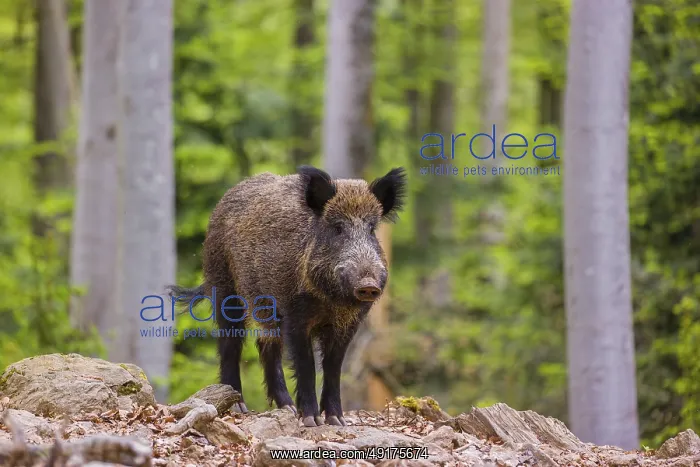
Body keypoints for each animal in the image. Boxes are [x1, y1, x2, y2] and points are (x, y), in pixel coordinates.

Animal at [168, 165, 406, 426]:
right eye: (337, 228)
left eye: (372, 229)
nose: (368, 285)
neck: (331, 301)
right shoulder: (294, 314)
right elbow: (307, 364)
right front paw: (312, 420)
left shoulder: (349, 324)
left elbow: (333, 366)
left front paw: (337, 421)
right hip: (224, 286)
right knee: (231, 342)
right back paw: (239, 405)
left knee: (265, 344)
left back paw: (288, 408)